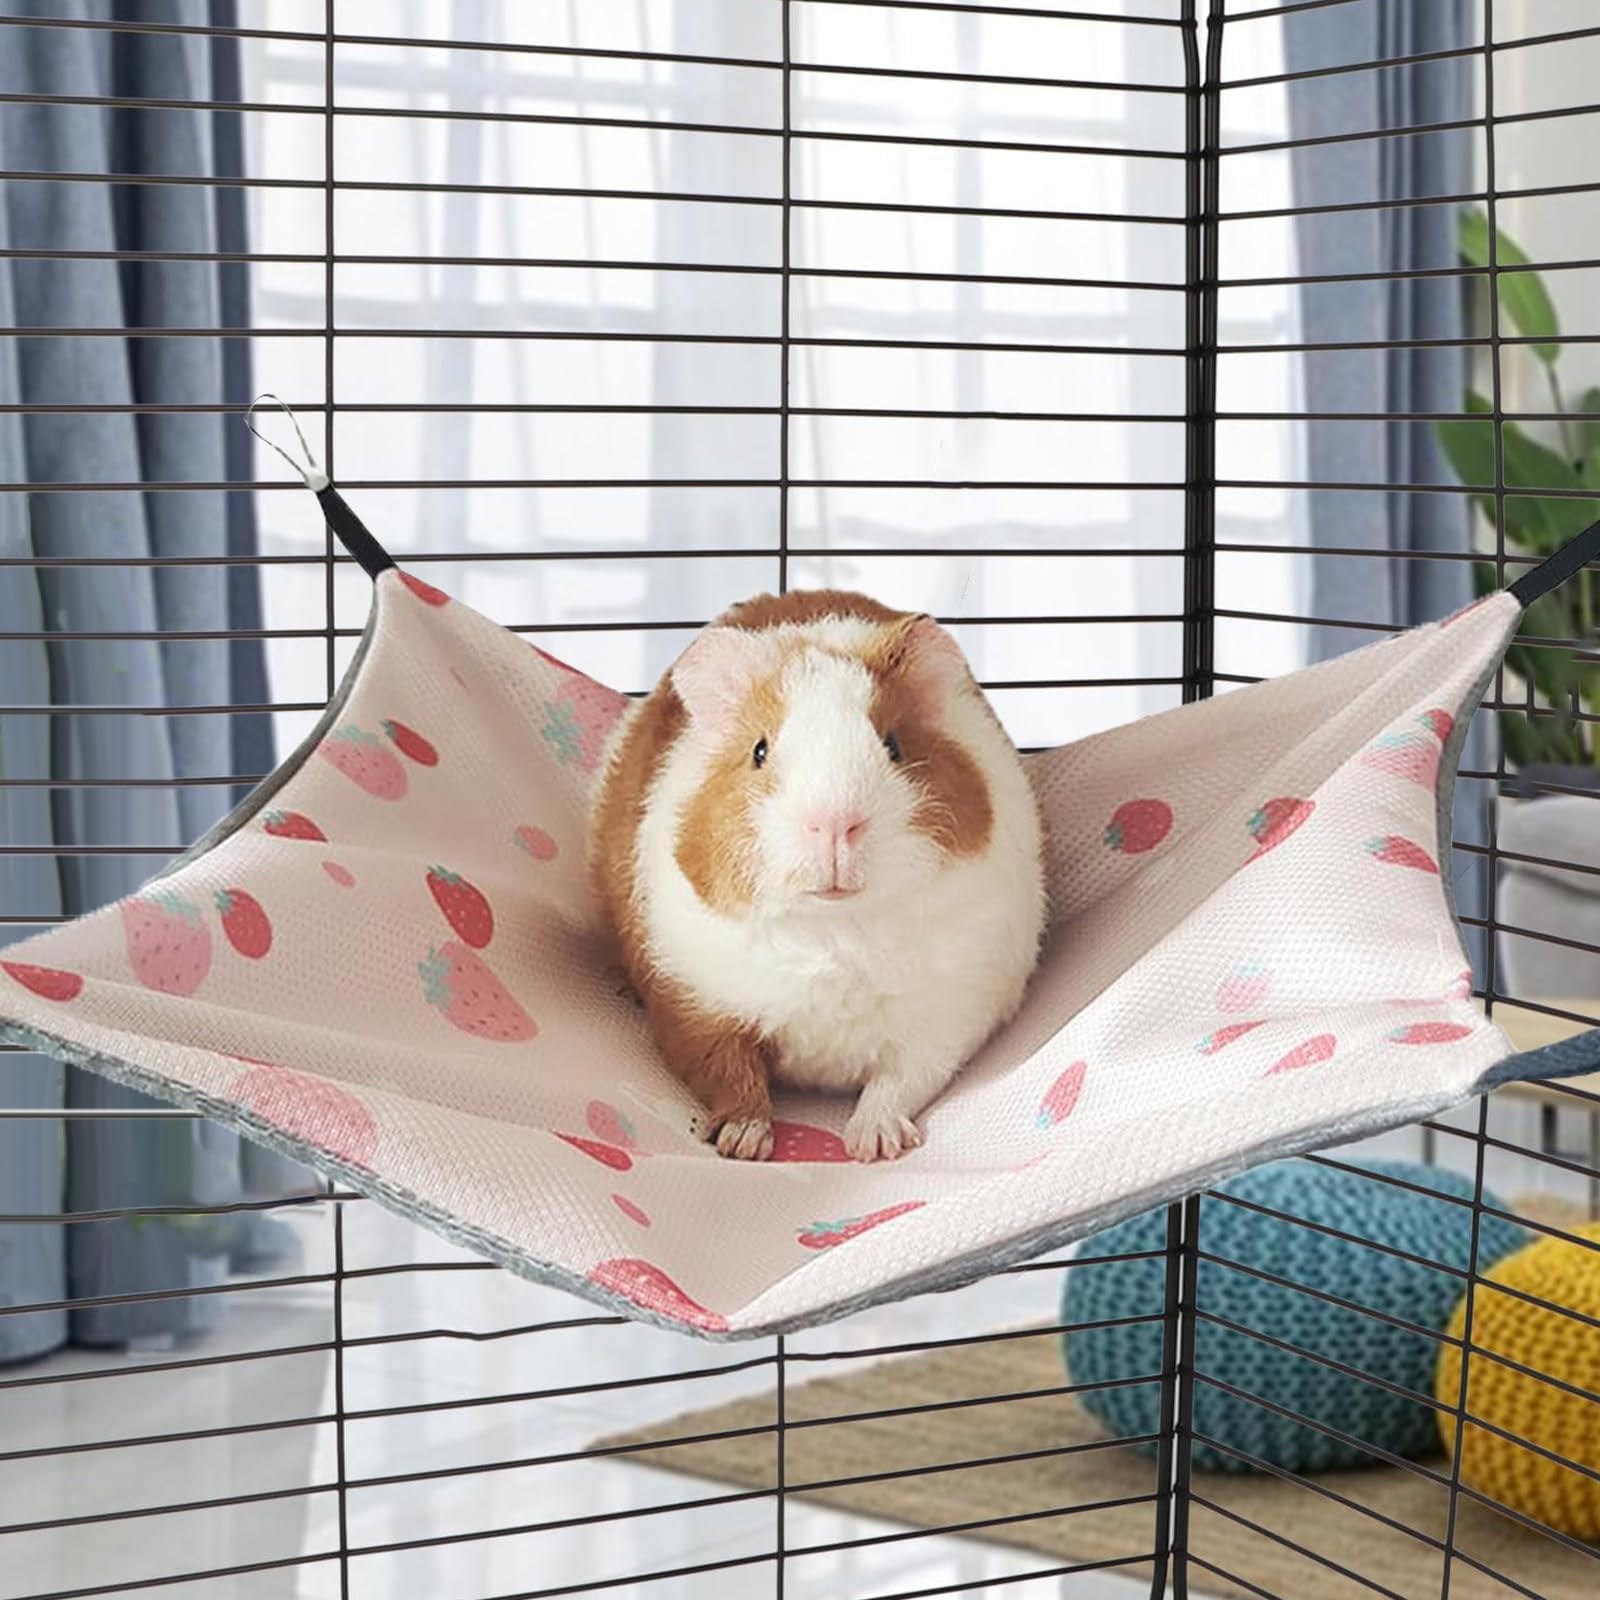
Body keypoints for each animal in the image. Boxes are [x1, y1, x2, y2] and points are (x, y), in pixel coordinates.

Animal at [590, 590, 1045, 1163]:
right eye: (759, 751)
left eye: (893, 745)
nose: (833, 824)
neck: (835, 930)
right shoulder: (693, 1006)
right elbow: (730, 1075)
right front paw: (743, 1145)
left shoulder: (945, 1022)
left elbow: (898, 1082)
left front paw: (874, 1146)